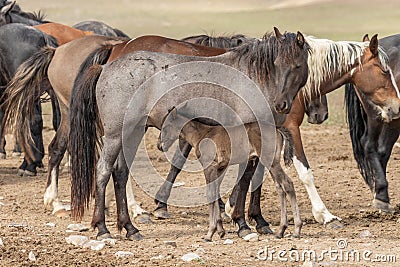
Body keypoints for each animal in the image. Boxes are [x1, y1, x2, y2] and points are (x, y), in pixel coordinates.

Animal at [156, 107, 300, 241]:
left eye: (166, 127)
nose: (159, 145)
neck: (202, 134)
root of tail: (277, 129)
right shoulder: (220, 168)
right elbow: (215, 194)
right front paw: (220, 231)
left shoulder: (209, 168)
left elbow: (210, 195)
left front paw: (210, 233)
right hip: (271, 162)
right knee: (280, 187)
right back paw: (281, 231)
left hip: (270, 161)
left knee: (287, 183)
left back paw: (296, 230)